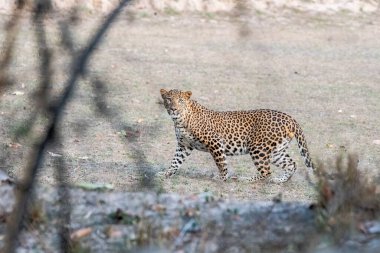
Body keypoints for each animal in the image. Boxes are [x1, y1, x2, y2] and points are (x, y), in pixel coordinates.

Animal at [160, 88, 314, 183]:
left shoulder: (215, 142)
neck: (180, 120)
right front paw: (166, 174)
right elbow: (175, 161)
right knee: (291, 164)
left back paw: (245, 179)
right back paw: (280, 180)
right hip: (276, 151)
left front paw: (222, 178)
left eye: (180, 101)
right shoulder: (184, 145)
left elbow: (221, 163)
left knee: (266, 172)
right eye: (169, 99)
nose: (174, 109)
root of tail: (290, 119)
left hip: (258, 149)